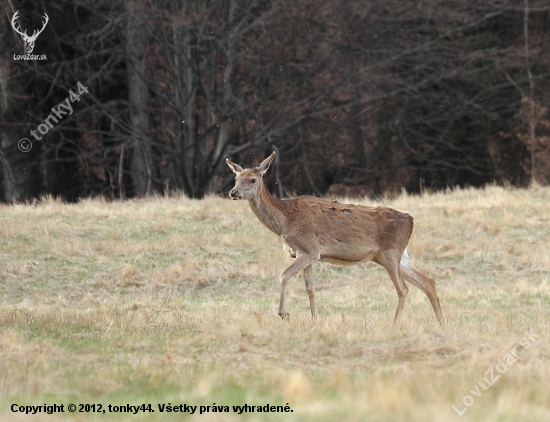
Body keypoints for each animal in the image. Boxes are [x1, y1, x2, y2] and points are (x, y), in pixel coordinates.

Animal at [226, 152, 446, 326]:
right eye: (236, 178)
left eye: (253, 179)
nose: (233, 192)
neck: (285, 221)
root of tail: (411, 219)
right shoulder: (305, 254)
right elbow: (310, 288)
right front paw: (315, 319)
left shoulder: (310, 248)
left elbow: (284, 276)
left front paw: (284, 314)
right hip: (398, 256)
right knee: (428, 282)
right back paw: (442, 322)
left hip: (390, 253)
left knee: (403, 289)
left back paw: (395, 324)